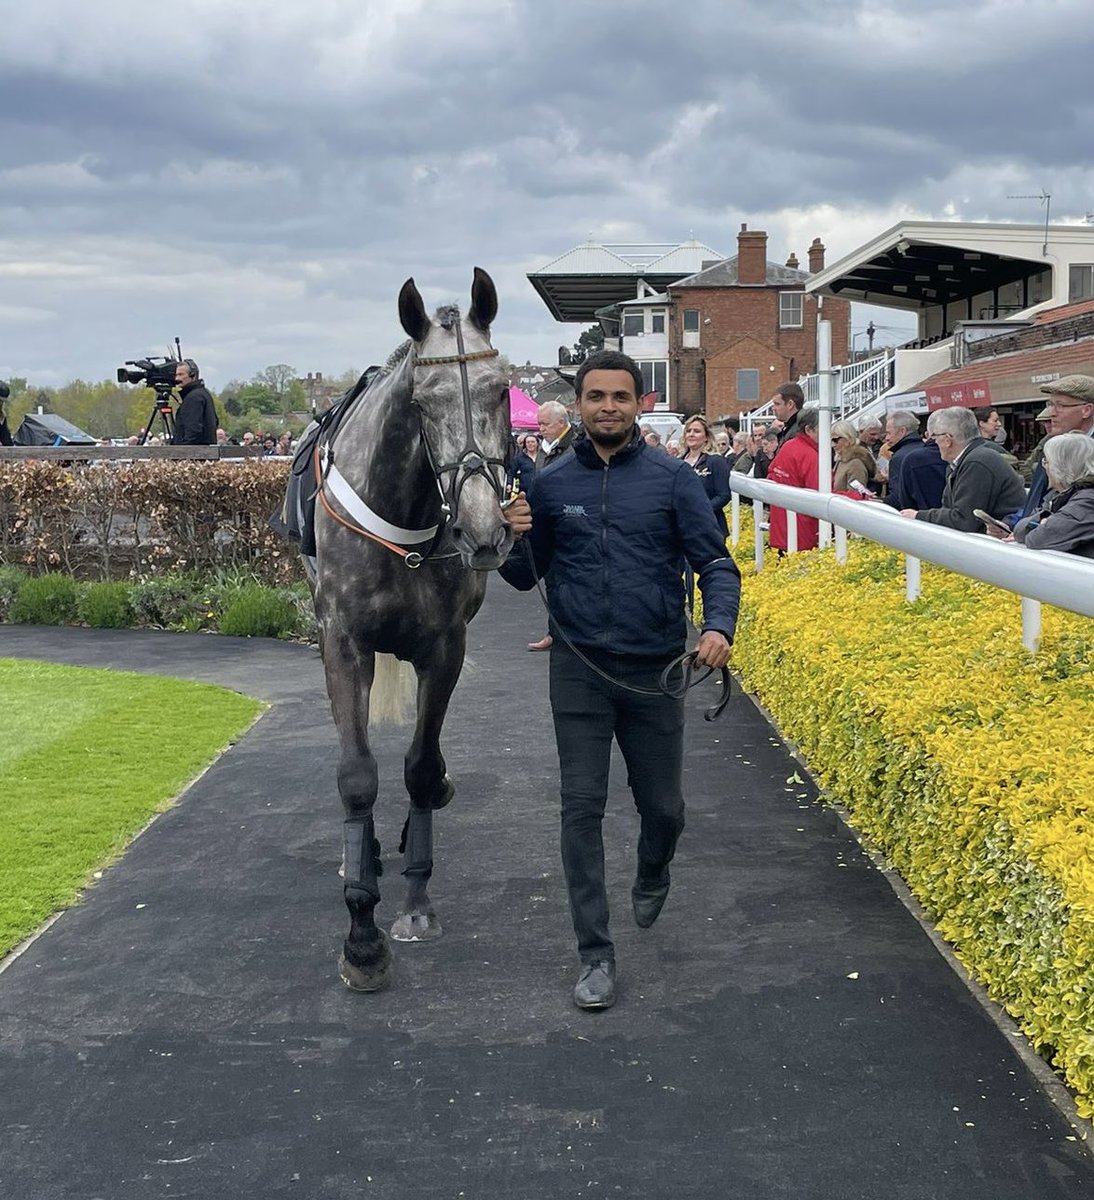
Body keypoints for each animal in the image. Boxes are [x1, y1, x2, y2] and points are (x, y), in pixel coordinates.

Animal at [309, 272, 511, 993]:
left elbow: (421, 769)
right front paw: (361, 936)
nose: (483, 531)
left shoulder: (445, 647)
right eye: (423, 401)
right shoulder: (343, 642)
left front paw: (416, 902)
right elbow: (357, 775)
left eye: (502, 389)